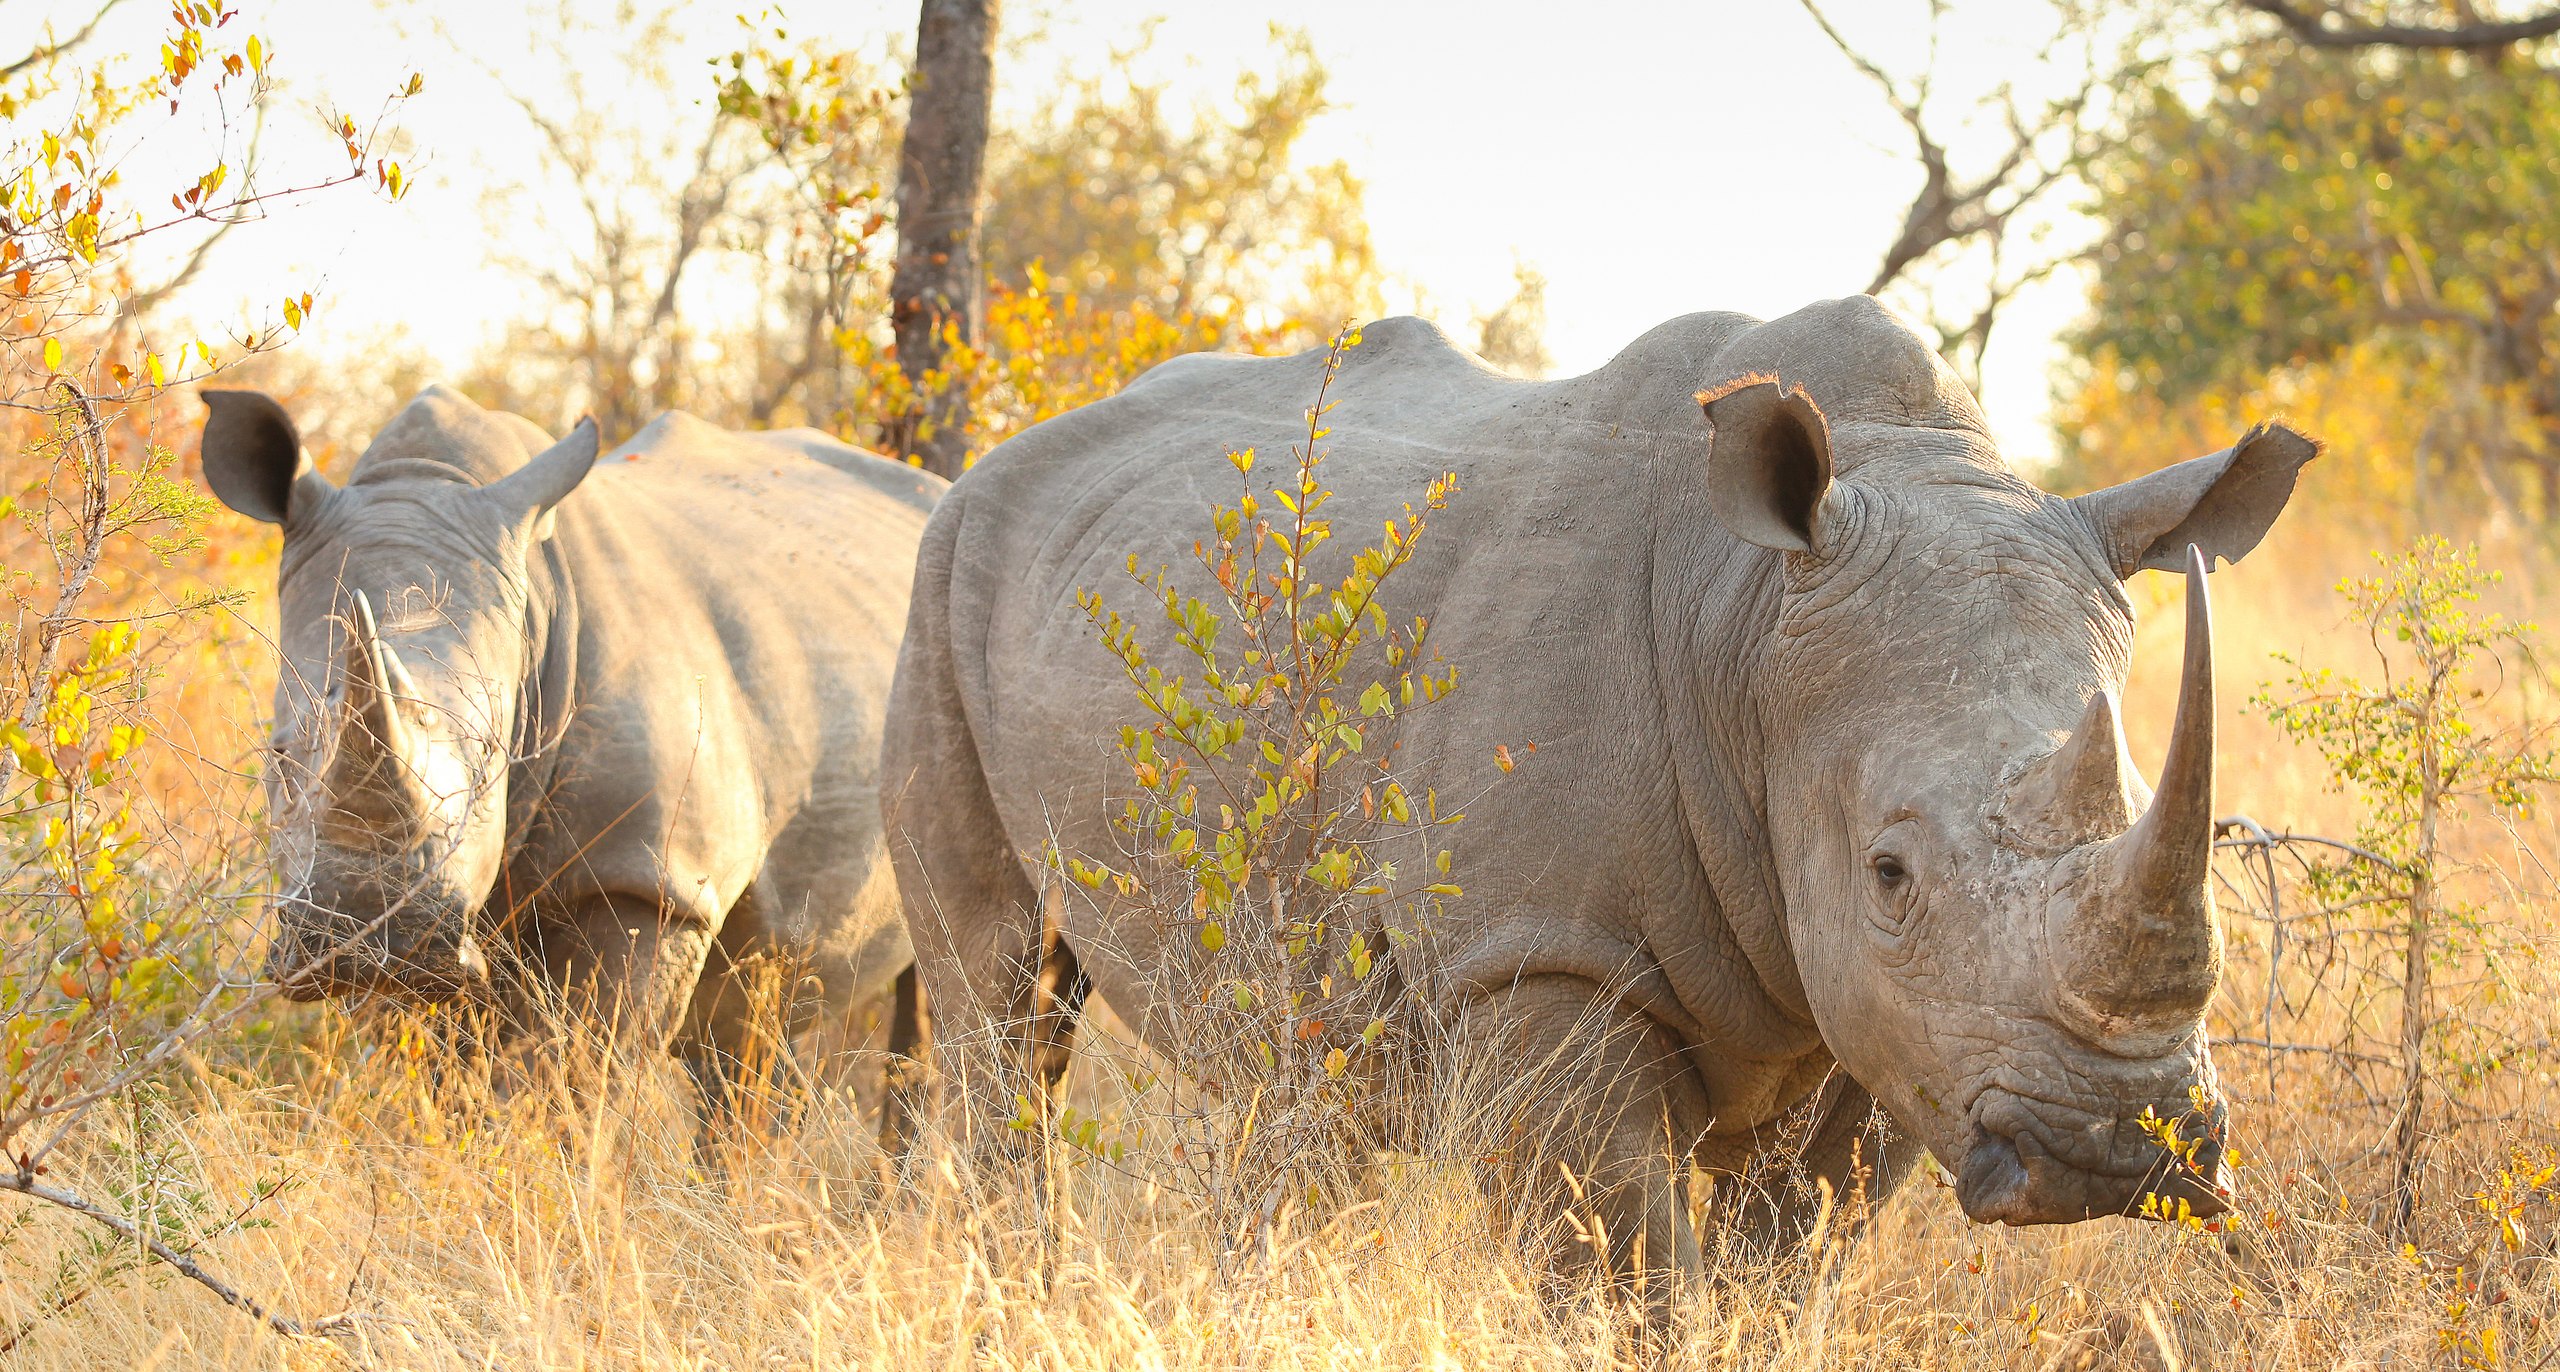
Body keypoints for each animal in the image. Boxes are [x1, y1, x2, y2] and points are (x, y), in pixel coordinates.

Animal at [199, 386, 938, 1114]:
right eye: (280, 754)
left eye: (491, 757)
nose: (370, 939)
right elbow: (443, 1083)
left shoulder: (648, 876)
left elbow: (574, 1077)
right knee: (755, 1021)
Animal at [880, 298, 2314, 1282]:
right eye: (1891, 872)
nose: (2115, 1145)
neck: (1748, 628)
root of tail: (1000, 456)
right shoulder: (1537, 954)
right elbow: (1627, 1273)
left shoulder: (1910, 1029)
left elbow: (1784, 1267)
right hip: (940, 576)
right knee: (998, 999)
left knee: (1306, 1077)